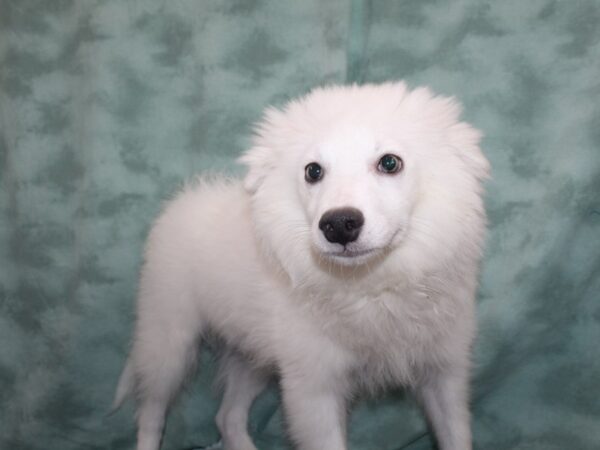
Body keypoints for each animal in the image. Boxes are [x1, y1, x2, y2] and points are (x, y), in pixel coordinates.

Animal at [112, 81, 488, 450]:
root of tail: (181, 203)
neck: (369, 285)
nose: (338, 225)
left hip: (251, 353)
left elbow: (457, 437)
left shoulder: (445, 373)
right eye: (313, 171)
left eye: (390, 163)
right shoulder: (313, 388)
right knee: (151, 411)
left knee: (227, 417)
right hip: (168, 339)